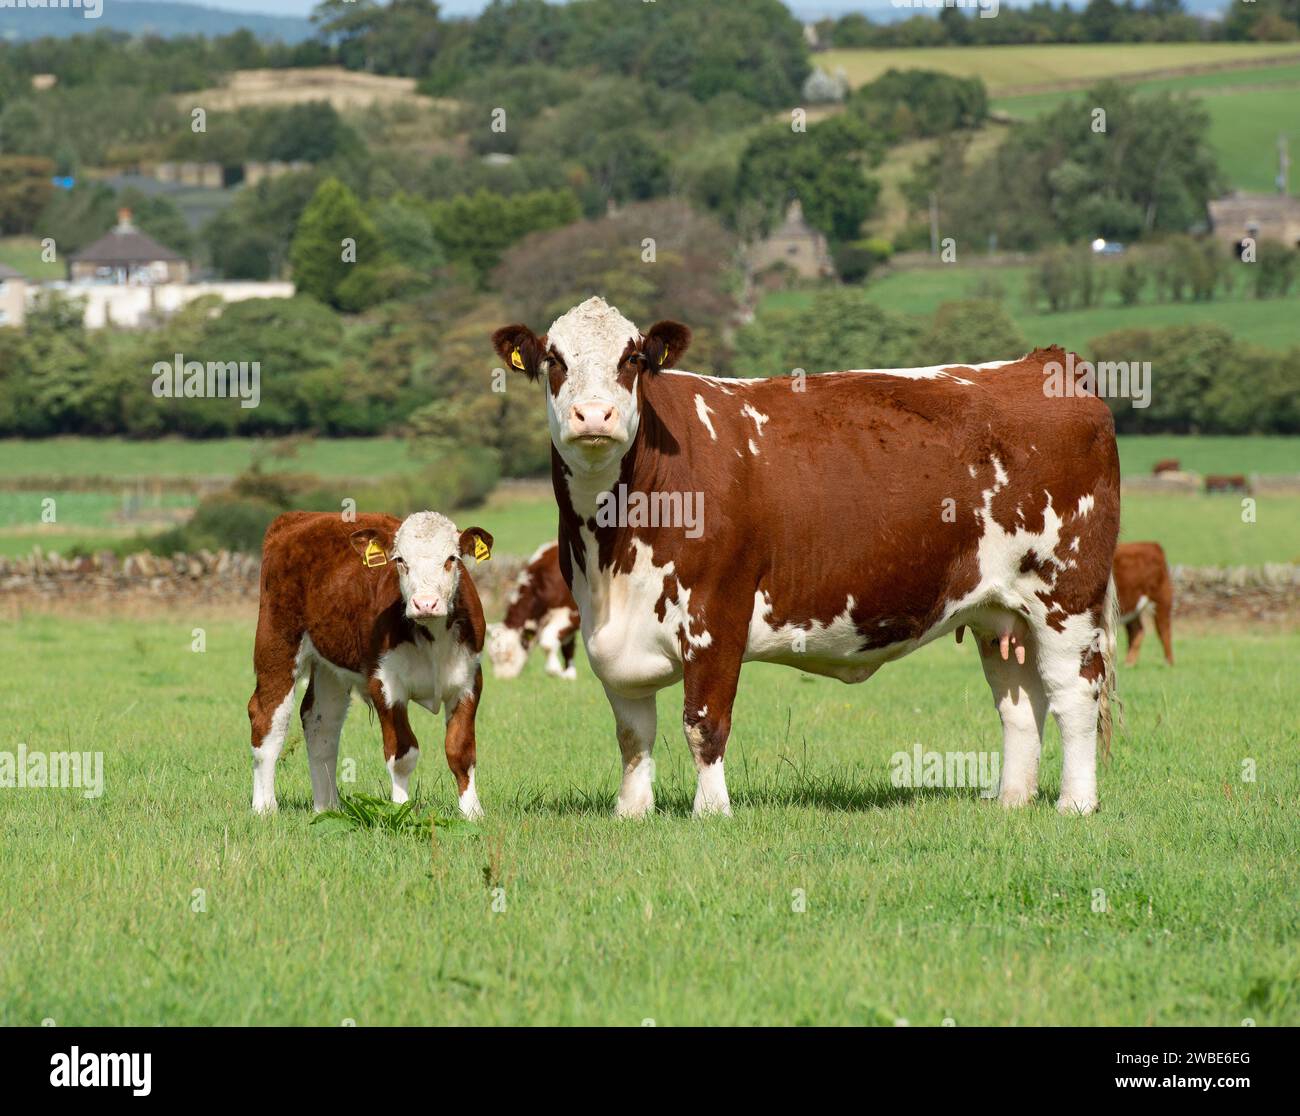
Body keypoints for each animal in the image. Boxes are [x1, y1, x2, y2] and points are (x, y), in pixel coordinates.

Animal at [246, 509, 491, 811]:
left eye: (451, 559)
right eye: (400, 560)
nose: (425, 603)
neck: (432, 636)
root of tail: (300, 517)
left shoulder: (468, 682)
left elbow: (461, 751)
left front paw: (472, 812)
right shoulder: (385, 684)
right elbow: (402, 754)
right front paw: (401, 809)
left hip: (330, 664)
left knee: (321, 723)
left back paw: (327, 808)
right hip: (277, 643)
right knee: (269, 718)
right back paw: (265, 807)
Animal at [488, 538, 579, 676]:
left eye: (508, 656)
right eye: (492, 658)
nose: (502, 678)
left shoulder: (572, 614)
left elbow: (547, 641)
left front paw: (554, 669)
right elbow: (568, 646)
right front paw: (569, 674)